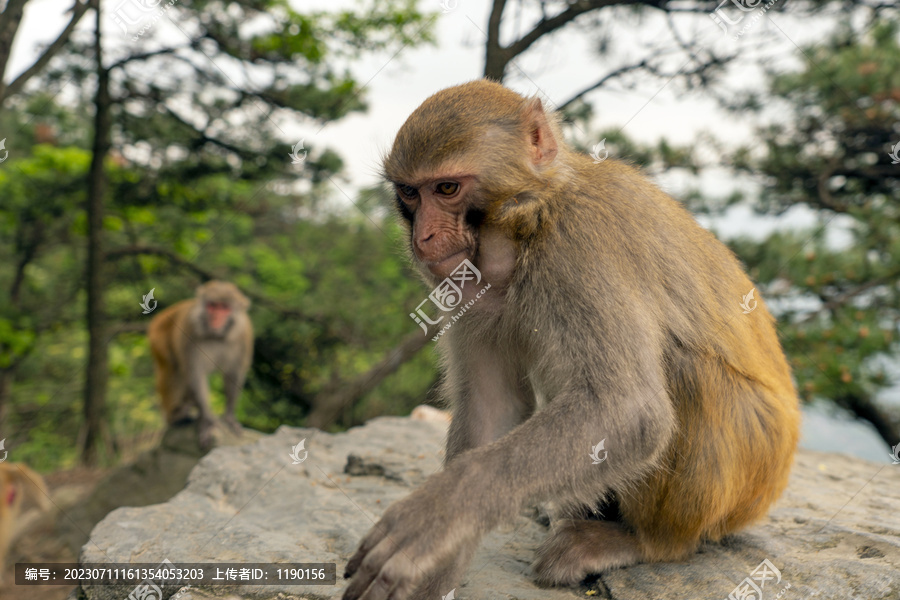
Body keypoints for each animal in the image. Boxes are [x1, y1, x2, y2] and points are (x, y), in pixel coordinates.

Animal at [149, 278, 253, 448]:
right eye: (212, 305)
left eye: (224, 308)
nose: (215, 317)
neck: (217, 335)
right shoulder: (189, 330)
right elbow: (194, 375)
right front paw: (207, 421)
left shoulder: (245, 334)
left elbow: (234, 374)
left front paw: (229, 416)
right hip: (158, 338)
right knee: (173, 371)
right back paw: (176, 415)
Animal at [342, 81, 800, 600]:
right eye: (409, 193)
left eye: (446, 189)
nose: (424, 237)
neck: (529, 224)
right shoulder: (469, 288)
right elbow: (492, 408)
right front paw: (436, 566)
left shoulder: (578, 245)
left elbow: (628, 408)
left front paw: (437, 513)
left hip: (749, 480)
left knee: (688, 373)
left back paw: (647, 542)